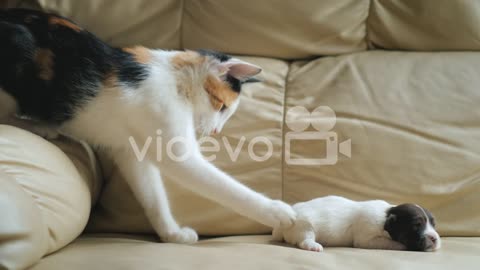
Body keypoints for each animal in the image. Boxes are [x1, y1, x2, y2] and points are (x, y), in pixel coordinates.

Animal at [0, 8, 294, 243]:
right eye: (221, 106)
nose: (215, 132)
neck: (175, 79)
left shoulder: (130, 151)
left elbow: (152, 195)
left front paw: (172, 234)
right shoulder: (175, 153)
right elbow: (226, 188)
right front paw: (280, 212)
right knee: (7, 113)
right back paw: (43, 126)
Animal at [272, 196, 440, 251]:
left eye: (434, 224)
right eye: (416, 225)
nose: (435, 239)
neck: (386, 218)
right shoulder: (366, 239)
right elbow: (391, 243)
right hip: (305, 226)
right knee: (304, 240)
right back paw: (314, 246)